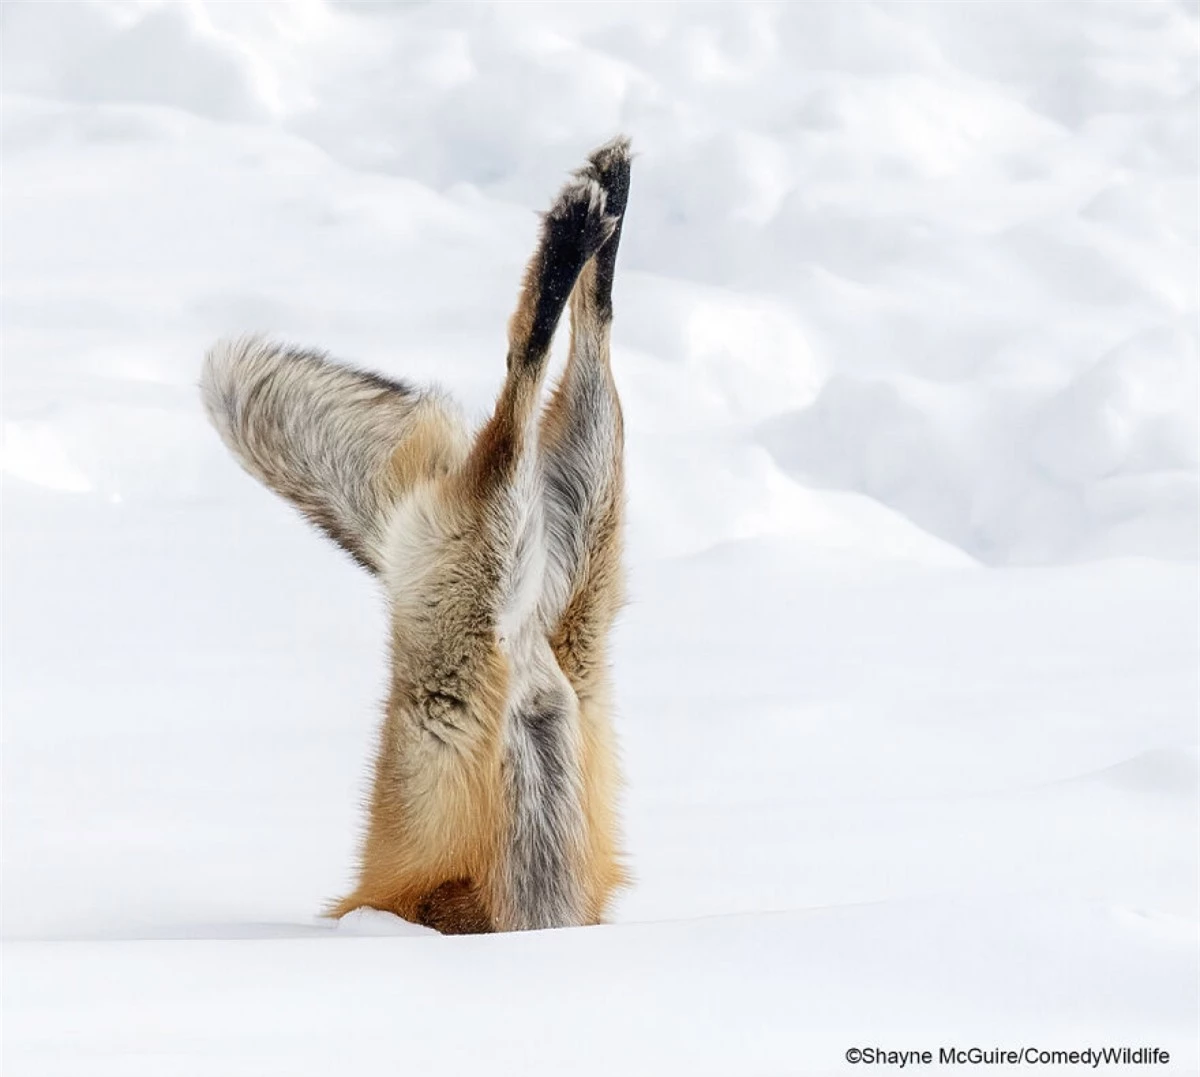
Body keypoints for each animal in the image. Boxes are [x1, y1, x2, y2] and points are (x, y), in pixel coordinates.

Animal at [204, 136, 638, 930]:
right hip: (584, 564)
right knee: (586, 346)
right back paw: (604, 206)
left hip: (473, 581)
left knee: (516, 389)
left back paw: (575, 227)